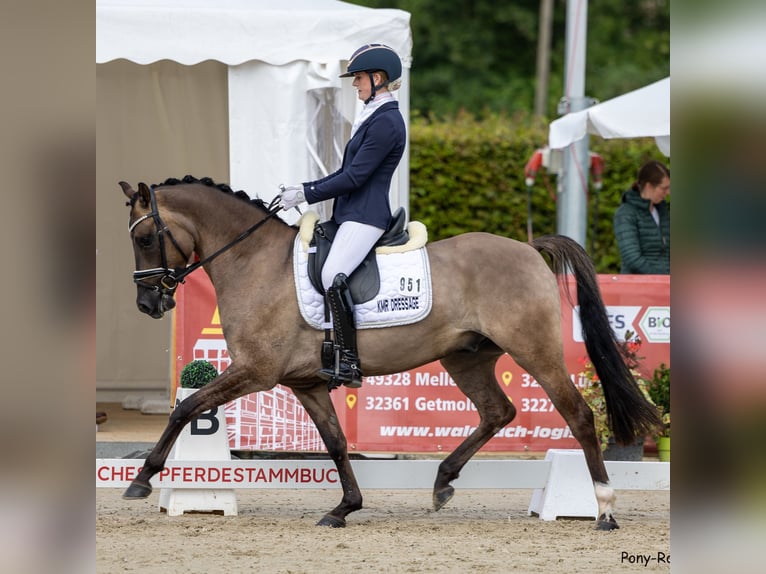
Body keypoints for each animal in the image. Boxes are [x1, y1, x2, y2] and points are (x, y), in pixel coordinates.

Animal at [117, 174, 664, 532]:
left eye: (144, 237)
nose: (147, 303)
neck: (255, 262)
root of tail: (530, 249)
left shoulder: (256, 371)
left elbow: (187, 407)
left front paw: (142, 479)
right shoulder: (305, 382)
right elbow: (337, 442)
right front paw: (345, 508)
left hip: (535, 350)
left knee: (578, 415)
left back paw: (605, 508)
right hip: (466, 357)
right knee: (498, 411)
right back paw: (443, 481)